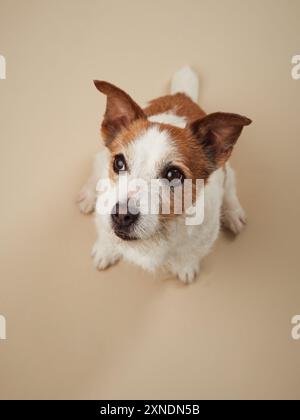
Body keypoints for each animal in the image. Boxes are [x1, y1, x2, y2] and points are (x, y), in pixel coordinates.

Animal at [77, 67, 251, 284]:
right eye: (119, 162)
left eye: (173, 174)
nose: (121, 215)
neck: (157, 234)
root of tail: (181, 96)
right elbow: (106, 235)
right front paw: (106, 250)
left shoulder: (205, 235)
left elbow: (190, 253)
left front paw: (185, 266)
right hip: (100, 159)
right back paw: (88, 195)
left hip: (226, 172)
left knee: (231, 184)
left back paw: (233, 211)